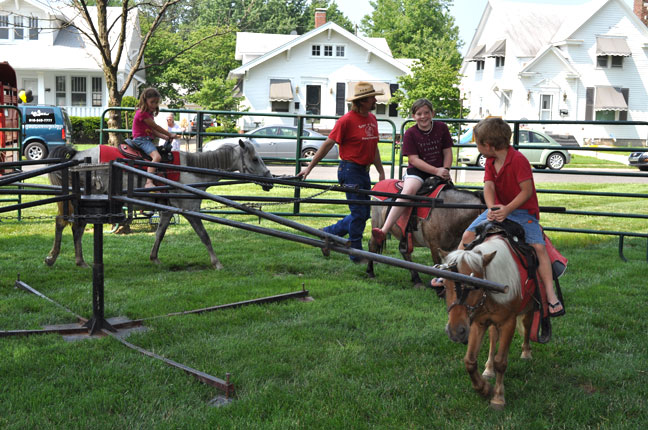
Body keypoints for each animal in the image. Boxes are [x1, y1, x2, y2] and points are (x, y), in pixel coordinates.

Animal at [45, 140, 274, 268]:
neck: (192, 171)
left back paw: (79, 261)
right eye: (255, 159)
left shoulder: (167, 211)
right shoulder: (190, 210)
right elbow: (204, 236)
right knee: (65, 224)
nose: (270, 180)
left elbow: (160, 233)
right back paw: (54, 258)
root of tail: (77, 155)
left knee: (73, 227)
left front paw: (154, 258)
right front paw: (217, 263)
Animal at [438, 237, 536, 408]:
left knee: (527, 325)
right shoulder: (478, 323)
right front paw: (483, 388)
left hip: (529, 308)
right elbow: (470, 361)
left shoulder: (508, 323)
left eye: (474, 285)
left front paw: (498, 397)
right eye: (444, 284)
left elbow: (501, 362)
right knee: (493, 338)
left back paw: (526, 352)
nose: (456, 331)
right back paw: (489, 369)